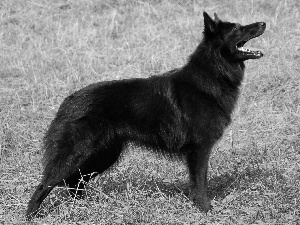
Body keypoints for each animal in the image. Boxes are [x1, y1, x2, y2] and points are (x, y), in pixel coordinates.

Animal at [25, 11, 264, 220]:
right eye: (236, 28)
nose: (263, 23)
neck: (213, 73)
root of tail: (69, 100)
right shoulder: (200, 150)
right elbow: (201, 184)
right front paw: (206, 210)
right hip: (79, 154)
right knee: (47, 183)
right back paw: (31, 215)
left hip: (104, 155)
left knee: (75, 182)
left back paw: (84, 207)